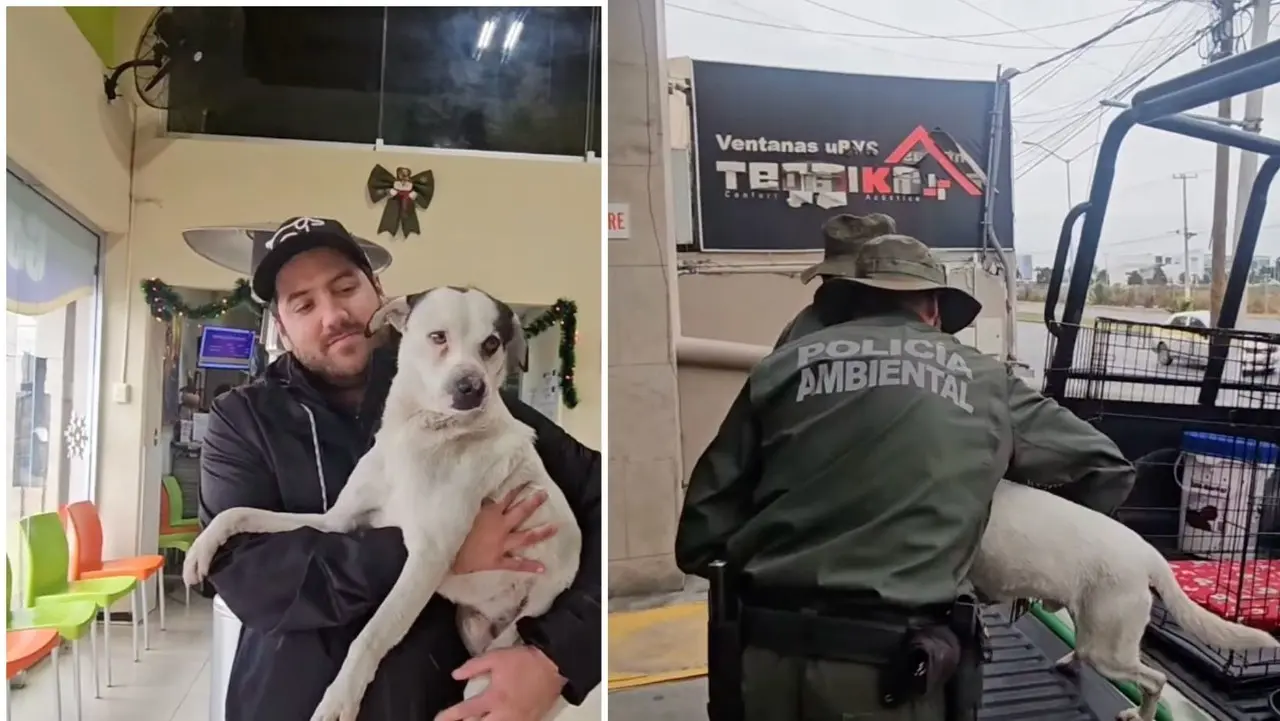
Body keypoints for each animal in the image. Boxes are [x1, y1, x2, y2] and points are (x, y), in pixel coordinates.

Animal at [183, 288, 583, 721]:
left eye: (491, 345)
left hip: (508, 647)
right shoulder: (337, 521)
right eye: (438, 337)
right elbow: (239, 512)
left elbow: (371, 635)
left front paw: (340, 699)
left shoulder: (427, 558)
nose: (472, 387)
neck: (420, 433)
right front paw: (201, 549)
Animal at [967, 481, 1280, 721]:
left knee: (1156, 681)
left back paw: (1141, 716)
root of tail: (1148, 553)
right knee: (1085, 648)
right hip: (1093, 626)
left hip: (1107, 651)